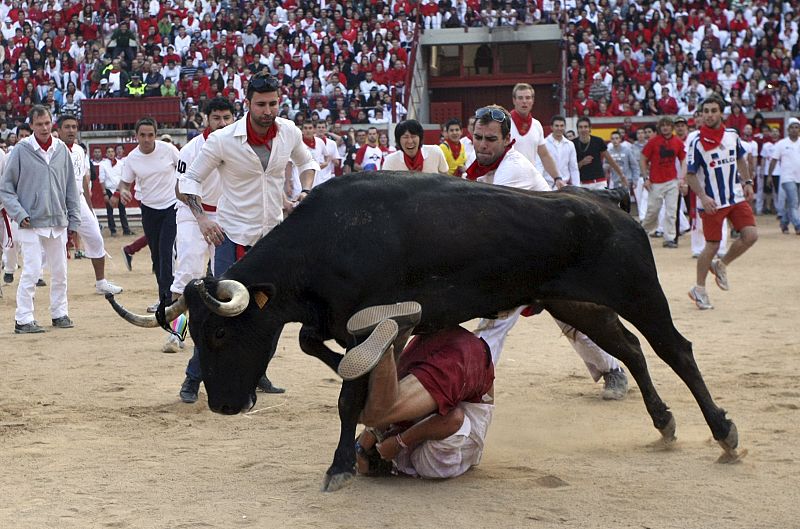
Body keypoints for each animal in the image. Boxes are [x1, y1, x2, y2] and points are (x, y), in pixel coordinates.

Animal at [106, 172, 744, 490]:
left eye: (219, 336)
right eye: (197, 335)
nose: (224, 408)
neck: (330, 240)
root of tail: (608, 200)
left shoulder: (368, 321)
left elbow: (349, 392)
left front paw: (339, 466)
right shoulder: (334, 321)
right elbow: (320, 349)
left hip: (637, 291)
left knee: (675, 349)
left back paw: (723, 432)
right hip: (577, 302)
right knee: (630, 349)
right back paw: (664, 423)